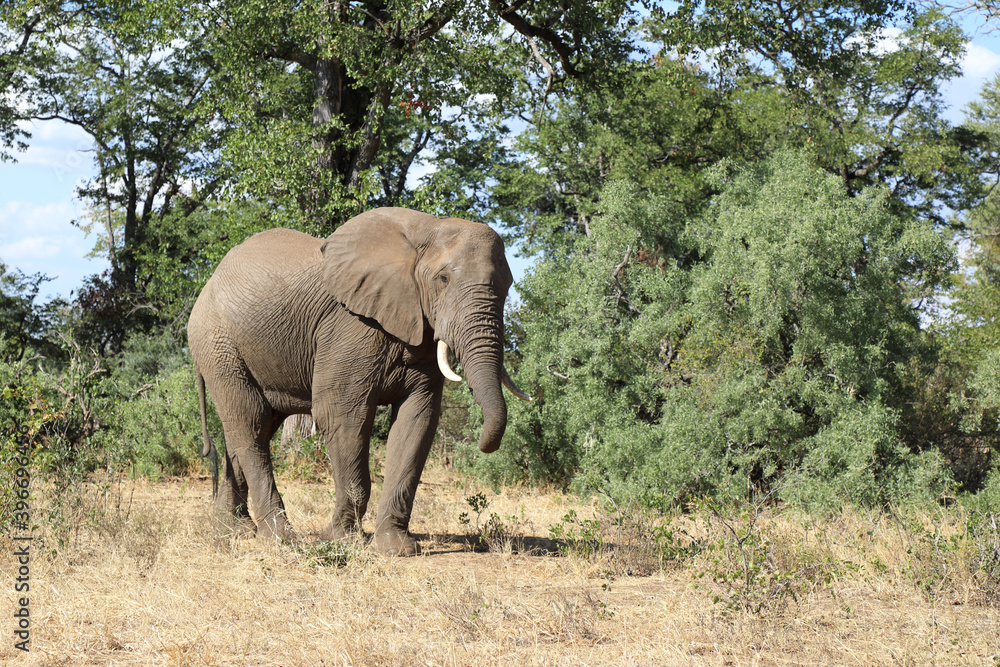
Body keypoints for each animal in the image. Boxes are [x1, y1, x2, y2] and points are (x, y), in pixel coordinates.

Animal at [188, 209, 532, 560]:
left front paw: (396, 548)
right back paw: (280, 539)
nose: (484, 445)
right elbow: (341, 414)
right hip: (218, 344)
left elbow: (417, 421)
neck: (426, 230)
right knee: (250, 423)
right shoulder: (350, 326)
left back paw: (233, 530)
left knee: (254, 427)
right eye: (443, 279)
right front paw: (342, 540)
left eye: (508, 286)